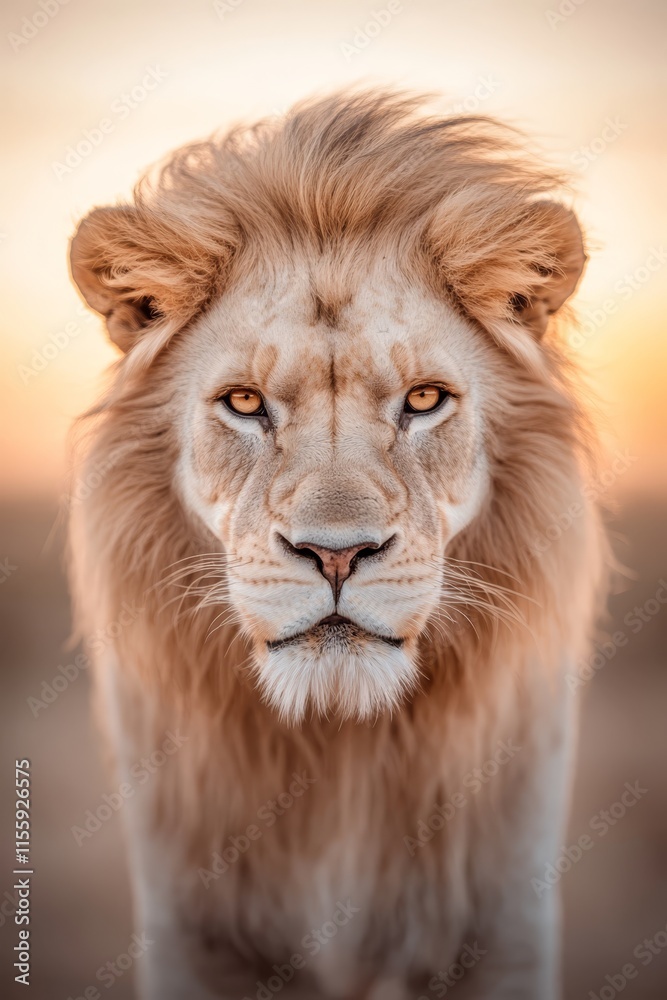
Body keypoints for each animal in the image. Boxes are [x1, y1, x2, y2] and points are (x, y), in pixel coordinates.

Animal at [68, 90, 607, 999]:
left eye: (422, 400)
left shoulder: (501, 922)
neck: (340, 739)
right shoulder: (194, 930)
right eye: (244, 402)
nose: (335, 555)